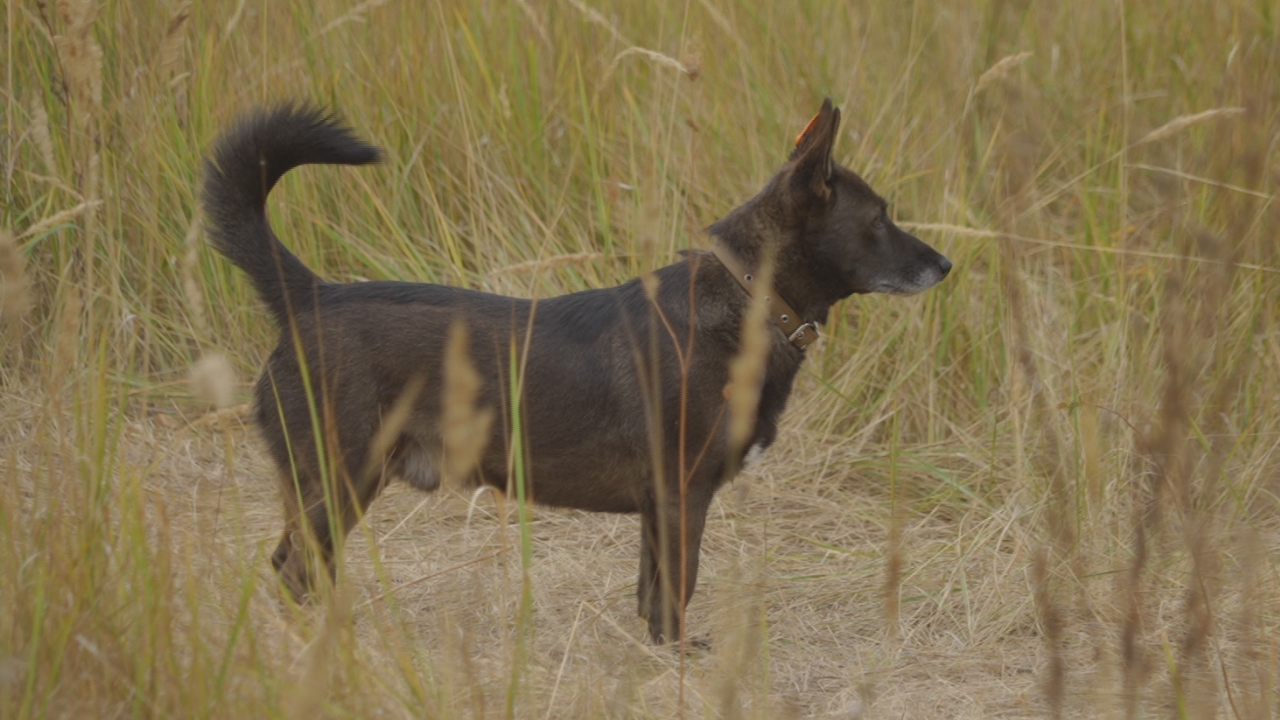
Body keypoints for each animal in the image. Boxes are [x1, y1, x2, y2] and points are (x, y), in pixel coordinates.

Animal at [202, 95, 952, 638]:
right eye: (879, 219)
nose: (946, 264)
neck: (746, 300)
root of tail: (311, 296)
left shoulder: (658, 507)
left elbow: (653, 593)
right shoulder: (683, 496)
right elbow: (680, 588)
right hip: (340, 480)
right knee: (293, 569)